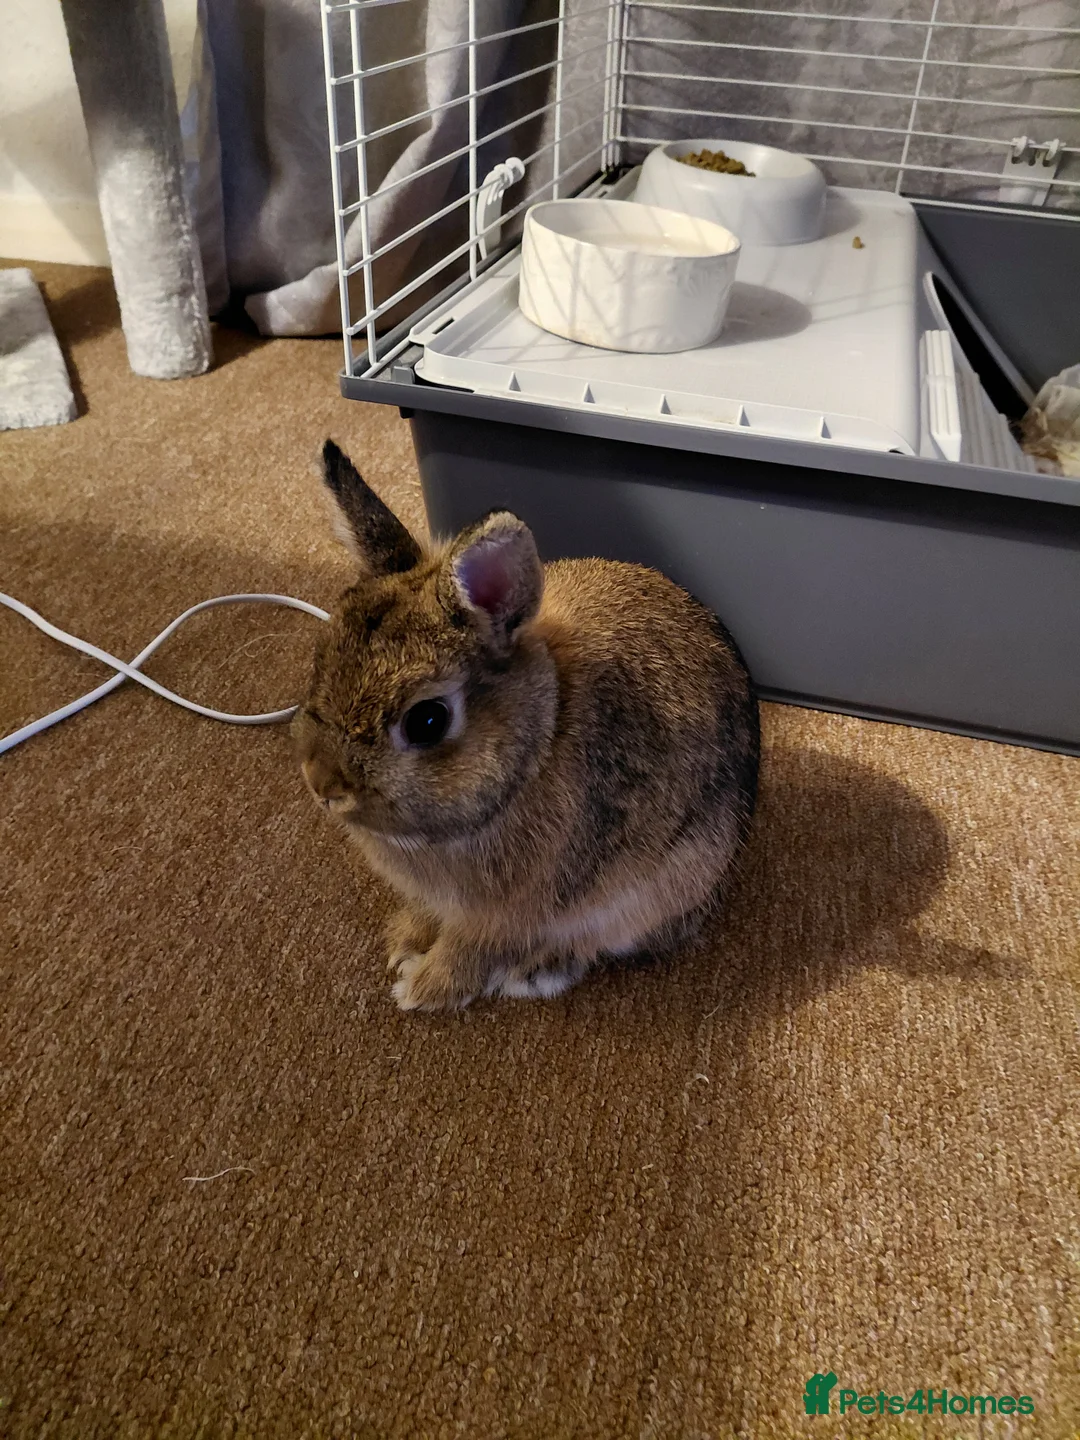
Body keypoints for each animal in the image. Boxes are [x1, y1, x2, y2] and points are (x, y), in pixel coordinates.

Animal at [294, 440, 759, 1012]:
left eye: (427, 721)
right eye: (321, 660)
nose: (322, 784)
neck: (534, 749)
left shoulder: (506, 915)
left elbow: (470, 952)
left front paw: (421, 989)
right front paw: (405, 944)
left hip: (660, 889)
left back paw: (536, 972)